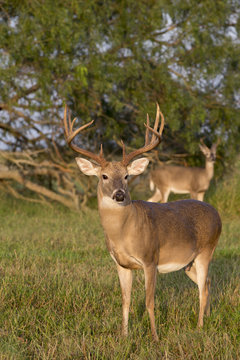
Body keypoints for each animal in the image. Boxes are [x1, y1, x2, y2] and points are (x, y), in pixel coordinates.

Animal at [63, 105, 221, 342]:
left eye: (127, 176)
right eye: (104, 176)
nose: (119, 195)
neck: (124, 232)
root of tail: (217, 214)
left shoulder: (150, 259)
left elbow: (149, 302)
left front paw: (155, 337)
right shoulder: (121, 264)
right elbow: (126, 301)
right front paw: (124, 335)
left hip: (206, 250)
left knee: (202, 289)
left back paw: (200, 327)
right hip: (188, 263)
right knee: (208, 283)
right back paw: (208, 317)